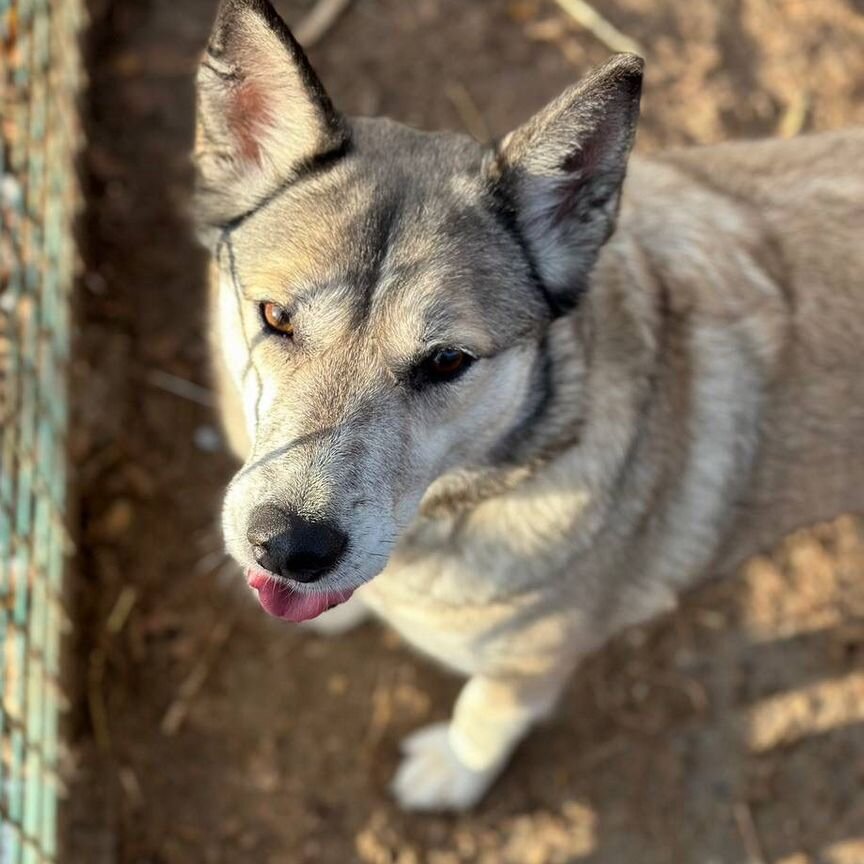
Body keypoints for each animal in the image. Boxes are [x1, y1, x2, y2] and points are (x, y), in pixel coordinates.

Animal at [196, 0, 864, 808]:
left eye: (447, 361)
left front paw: (453, 773)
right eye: (275, 316)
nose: (292, 549)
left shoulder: (529, 665)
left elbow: (485, 714)